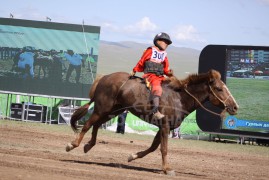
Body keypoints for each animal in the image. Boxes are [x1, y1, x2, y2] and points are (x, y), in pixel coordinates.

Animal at [66, 70, 238, 176]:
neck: (179, 98)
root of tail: (104, 77)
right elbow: (164, 148)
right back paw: (72, 144)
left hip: (112, 111)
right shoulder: (165, 126)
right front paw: (167, 169)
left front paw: (133, 156)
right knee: (87, 125)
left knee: (95, 125)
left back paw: (88, 146)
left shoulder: (163, 127)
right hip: (102, 109)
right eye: (219, 88)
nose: (235, 107)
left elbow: (154, 147)